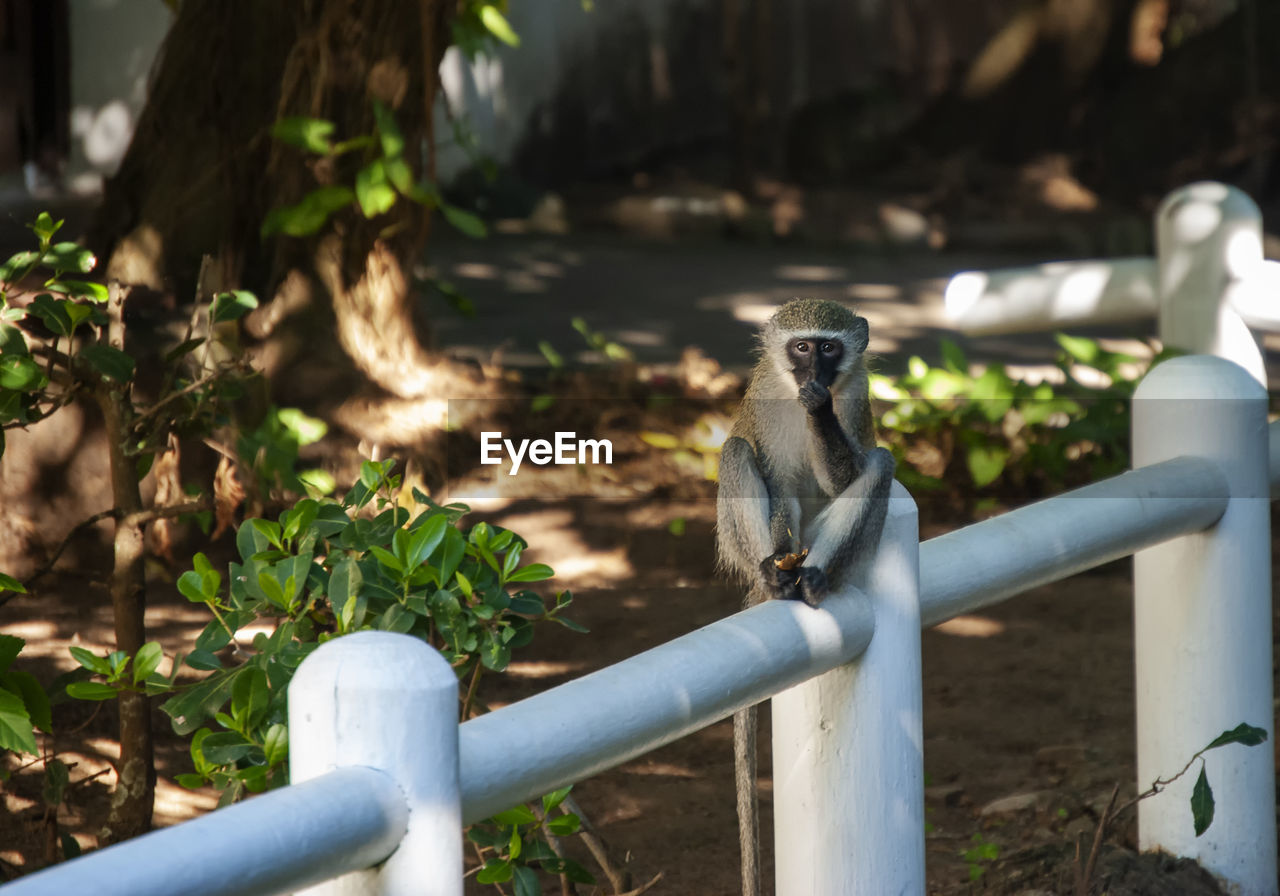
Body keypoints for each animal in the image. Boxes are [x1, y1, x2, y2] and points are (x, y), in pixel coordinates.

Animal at [716, 296, 896, 890]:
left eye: (828, 348)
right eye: (800, 347)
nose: (813, 374)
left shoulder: (857, 395)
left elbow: (850, 473)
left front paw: (820, 410)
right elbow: (777, 484)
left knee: (881, 464)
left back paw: (816, 578)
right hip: (743, 540)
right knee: (735, 450)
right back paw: (776, 577)